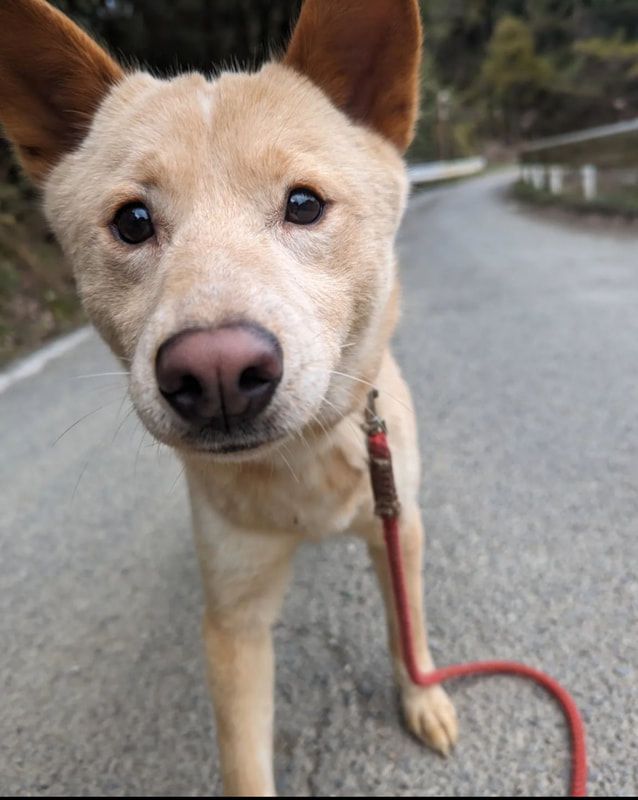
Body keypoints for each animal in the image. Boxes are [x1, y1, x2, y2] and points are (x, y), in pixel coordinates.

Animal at [0, 0, 460, 792]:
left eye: (304, 204)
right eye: (132, 221)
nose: (215, 373)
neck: (302, 466)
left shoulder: (398, 524)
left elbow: (409, 625)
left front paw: (422, 697)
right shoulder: (234, 619)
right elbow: (245, 757)